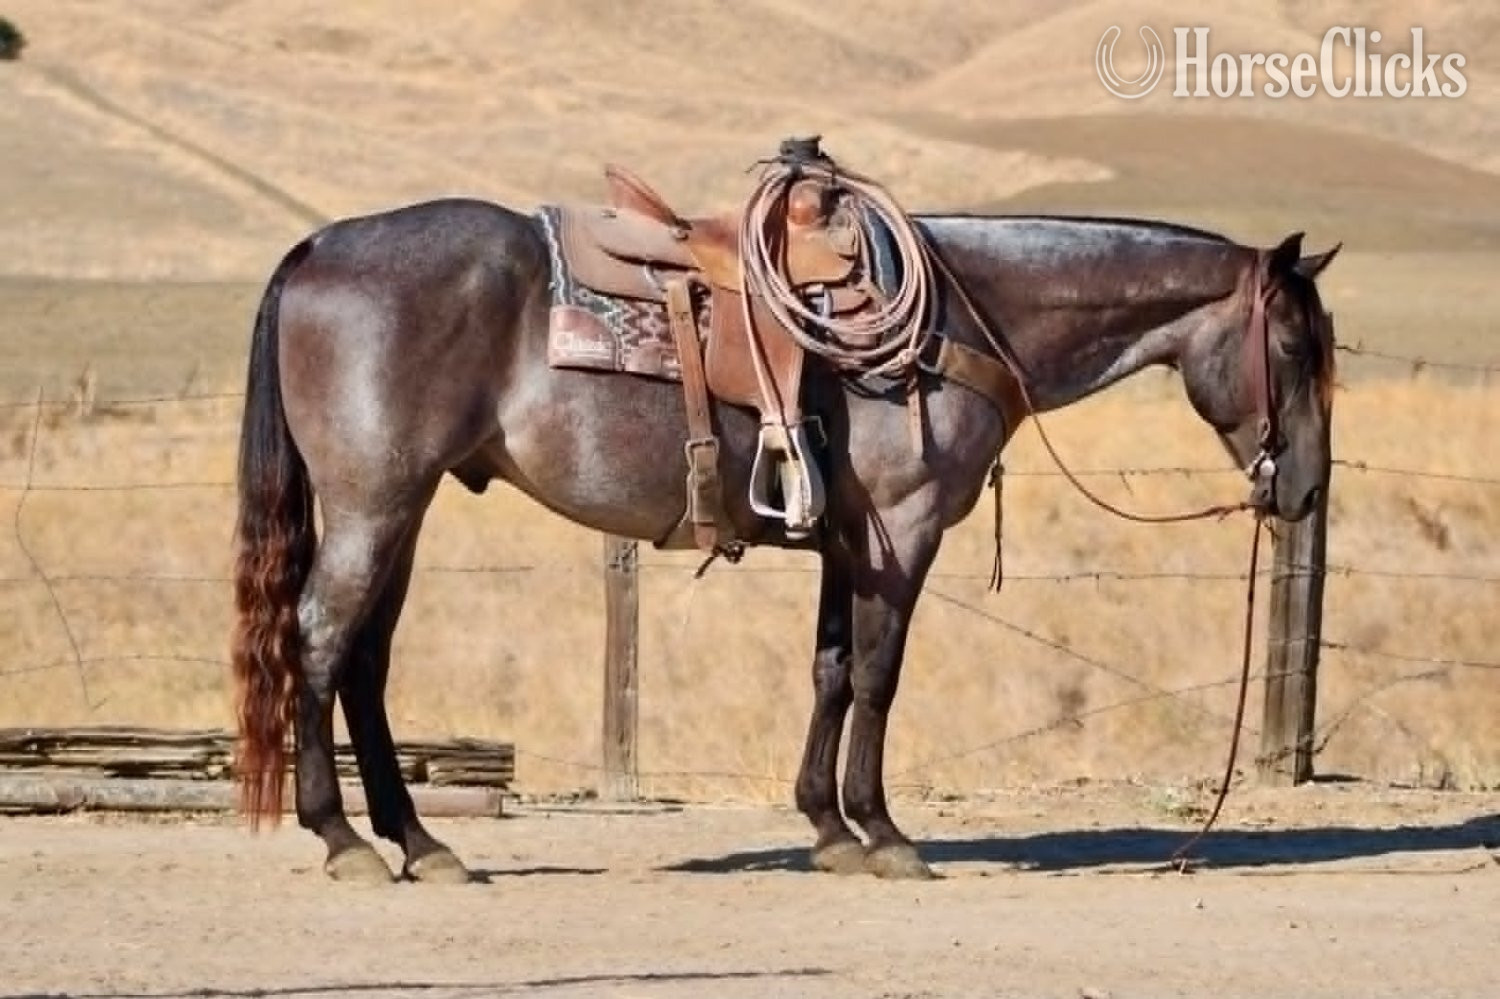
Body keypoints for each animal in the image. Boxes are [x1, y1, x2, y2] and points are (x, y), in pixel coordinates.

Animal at [228, 174, 1339, 885]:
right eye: (1293, 344)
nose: (1305, 488)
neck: (961, 320)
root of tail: (319, 247)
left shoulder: (847, 540)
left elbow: (832, 669)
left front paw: (829, 827)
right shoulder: (901, 531)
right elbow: (880, 676)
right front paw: (885, 833)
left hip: (400, 510)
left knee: (365, 662)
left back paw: (422, 844)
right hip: (374, 505)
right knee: (319, 644)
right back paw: (345, 841)